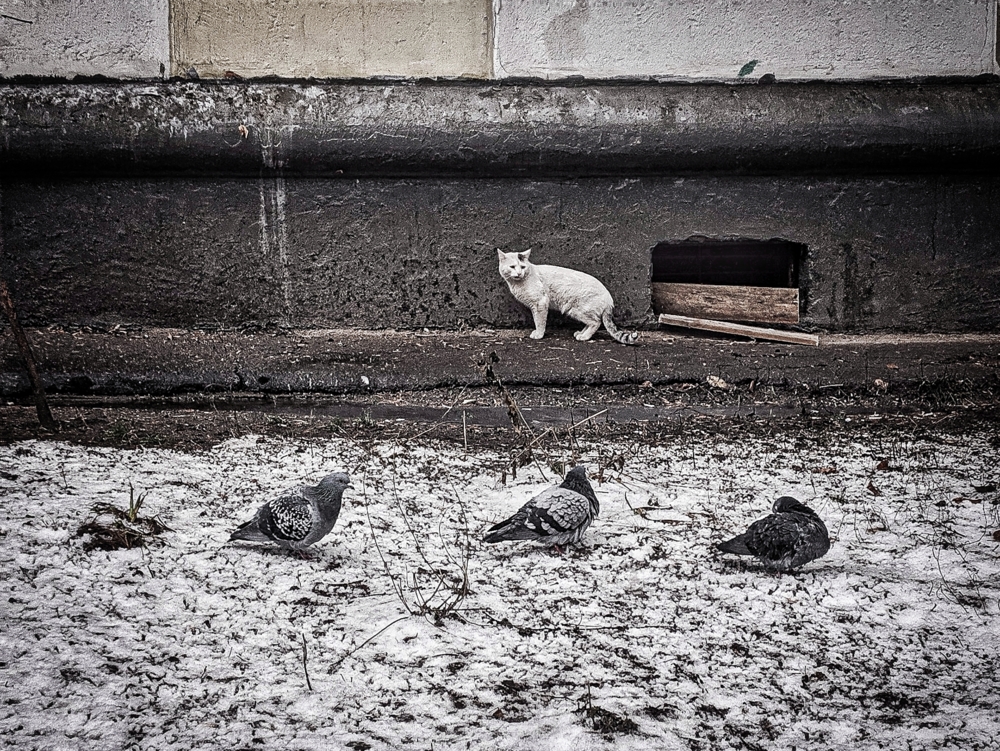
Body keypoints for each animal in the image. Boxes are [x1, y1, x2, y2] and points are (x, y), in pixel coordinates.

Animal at [494, 253, 640, 346]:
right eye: (512, 267)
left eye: (523, 267)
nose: (519, 273)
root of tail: (609, 298)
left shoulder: (540, 303)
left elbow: (539, 321)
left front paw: (539, 334)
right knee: (591, 323)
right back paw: (581, 333)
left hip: (577, 310)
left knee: (596, 322)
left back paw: (584, 337)